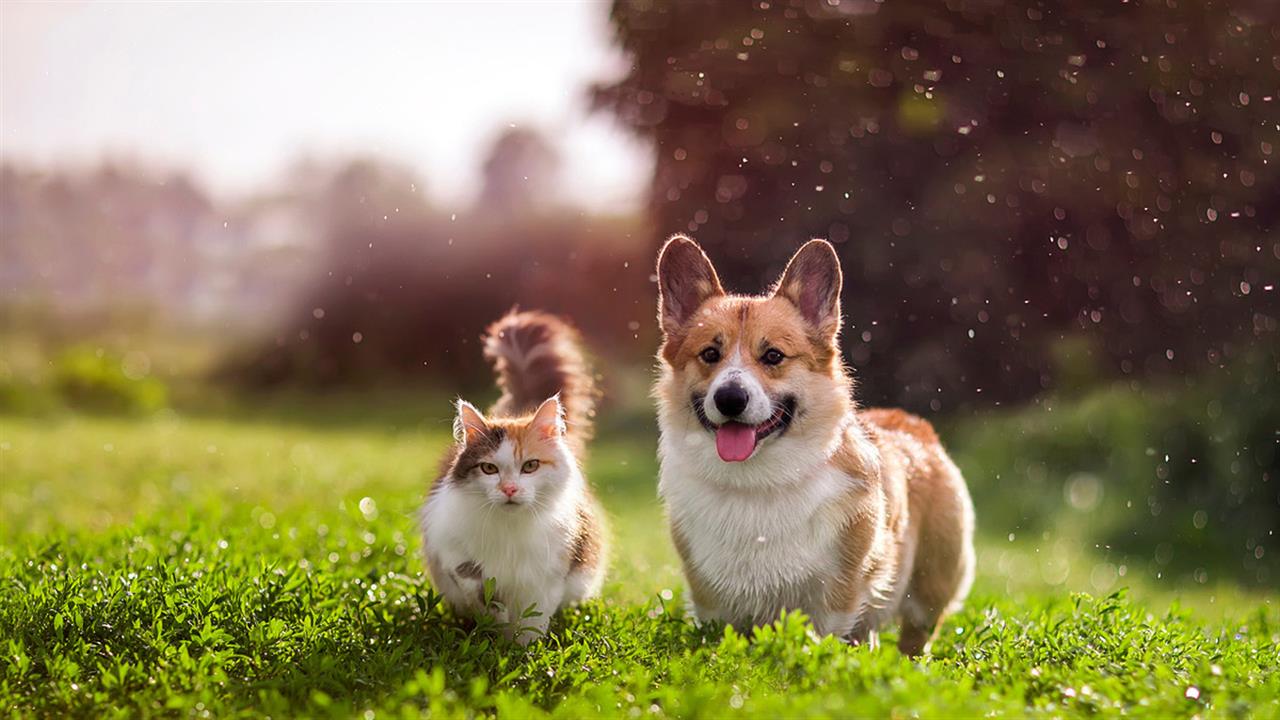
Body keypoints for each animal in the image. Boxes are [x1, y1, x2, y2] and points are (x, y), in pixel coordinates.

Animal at [414, 308, 604, 638]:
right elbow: (477, 586)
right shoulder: (449, 548)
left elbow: (532, 622)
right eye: (489, 468)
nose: (509, 489)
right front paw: (496, 628)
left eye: (530, 466)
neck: (510, 529)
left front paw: (522, 647)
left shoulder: (548, 575)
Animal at [655, 237, 972, 655]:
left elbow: (825, 636)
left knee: (914, 636)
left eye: (773, 355)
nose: (730, 398)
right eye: (710, 354)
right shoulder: (710, 599)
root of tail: (913, 424)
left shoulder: (837, 596)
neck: (756, 483)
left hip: (929, 589)